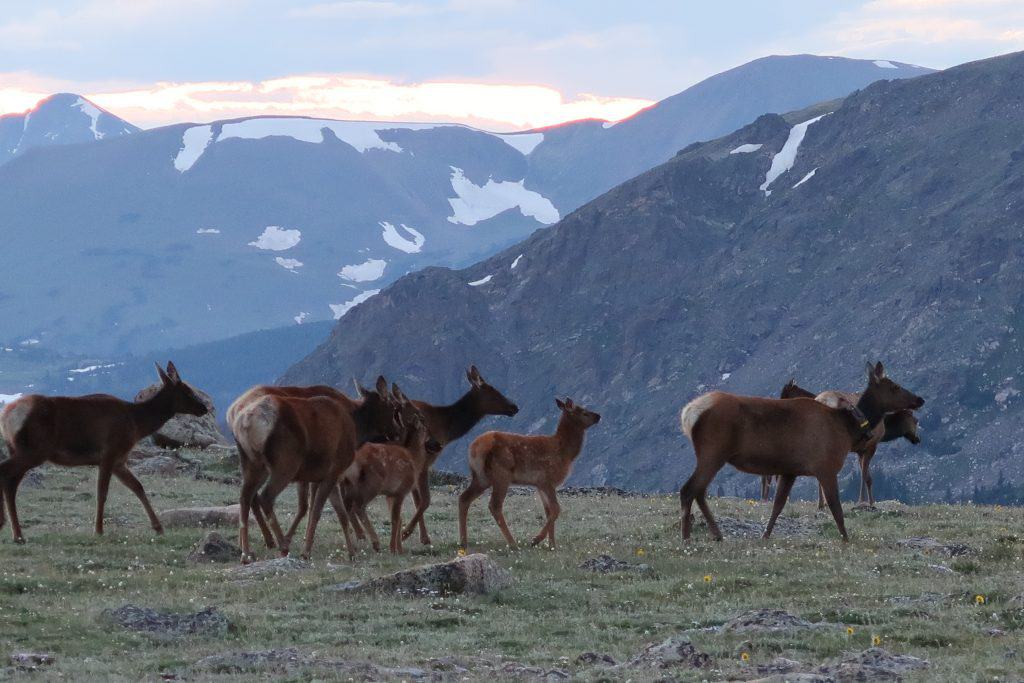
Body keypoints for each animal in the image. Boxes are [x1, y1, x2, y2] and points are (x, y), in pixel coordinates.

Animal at [0, 362, 207, 544]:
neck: (137, 424)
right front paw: (98, 530)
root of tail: (6, 415)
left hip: (19, 449)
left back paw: (12, 530)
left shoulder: (119, 461)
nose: (204, 408)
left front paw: (158, 527)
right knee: (5, 472)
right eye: (187, 390)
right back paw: (14, 532)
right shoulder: (109, 453)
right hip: (34, 449)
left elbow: (138, 487)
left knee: (11, 482)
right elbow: (102, 493)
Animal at [230, 376, 401, 565]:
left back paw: (246, 553)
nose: (398, 432)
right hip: (285, 464)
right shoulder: (333, 471)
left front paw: (351, 553)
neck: (357, 431)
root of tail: (244, 421)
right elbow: (317, 511)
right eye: (393, 407)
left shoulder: (326, 475)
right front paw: (306, 551)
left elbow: (338, 513)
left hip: (252, 463)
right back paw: (282, 545)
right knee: (265, 497)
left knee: (245, 497)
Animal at [401, 366, 520, 548]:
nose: (514, 407)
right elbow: (424, 500)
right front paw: (406, 533)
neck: (446, 428)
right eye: (492, 390)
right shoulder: (424, 460)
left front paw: (423, 538)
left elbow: (416, 499)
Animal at [458, 397, 598, 552]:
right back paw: (513, 543)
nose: (598, 416)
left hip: (481, 477)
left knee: (464, 498)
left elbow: (548, 511)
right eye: (584, 412)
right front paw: (536, 540)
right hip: (501, 474)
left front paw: (552, 545)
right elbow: (556, 509)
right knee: (494, 505)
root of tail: (474, 447)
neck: (566, 453)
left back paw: (463, 542)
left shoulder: (539, 485)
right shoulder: (547, 480)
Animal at [679, 362, 929, 544]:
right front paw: (846, 539)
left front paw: (765, 536)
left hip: (713, 455)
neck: (848, 428)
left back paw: (716, 534)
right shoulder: (826, 465)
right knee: (689, 489)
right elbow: (836, 506)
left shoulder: (790, 470)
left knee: (699, 491)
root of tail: (688, 413)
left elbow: (778, 505)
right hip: (713, 452)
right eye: (894, 386)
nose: (920, 399)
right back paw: (686, 537)